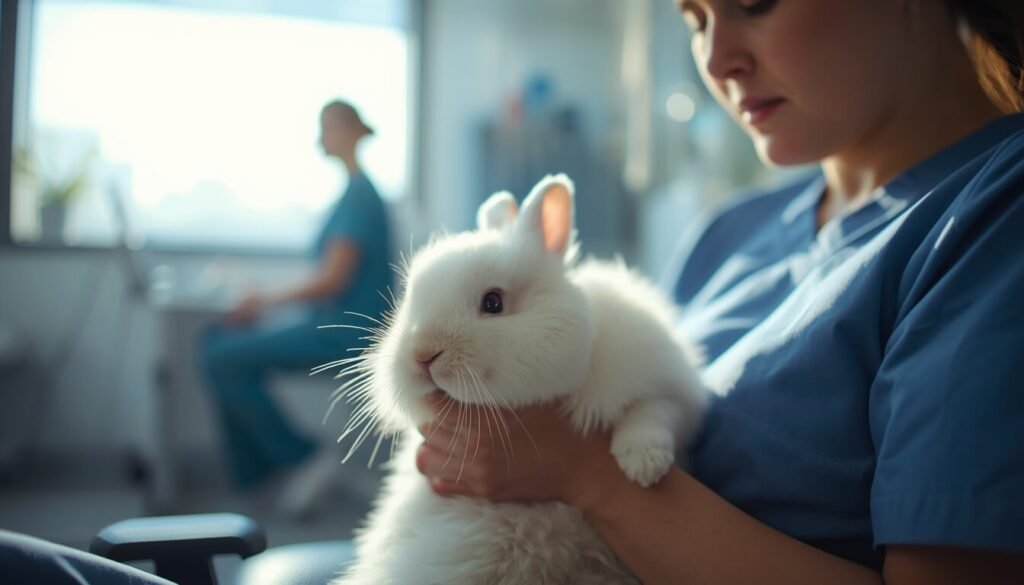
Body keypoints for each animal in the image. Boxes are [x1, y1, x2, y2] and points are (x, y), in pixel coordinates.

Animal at [328, 174, 708, 585]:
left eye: (493, 302)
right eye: (410, 302)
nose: (423, 355)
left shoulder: (670, 393)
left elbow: (652, 412)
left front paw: (642, 466)